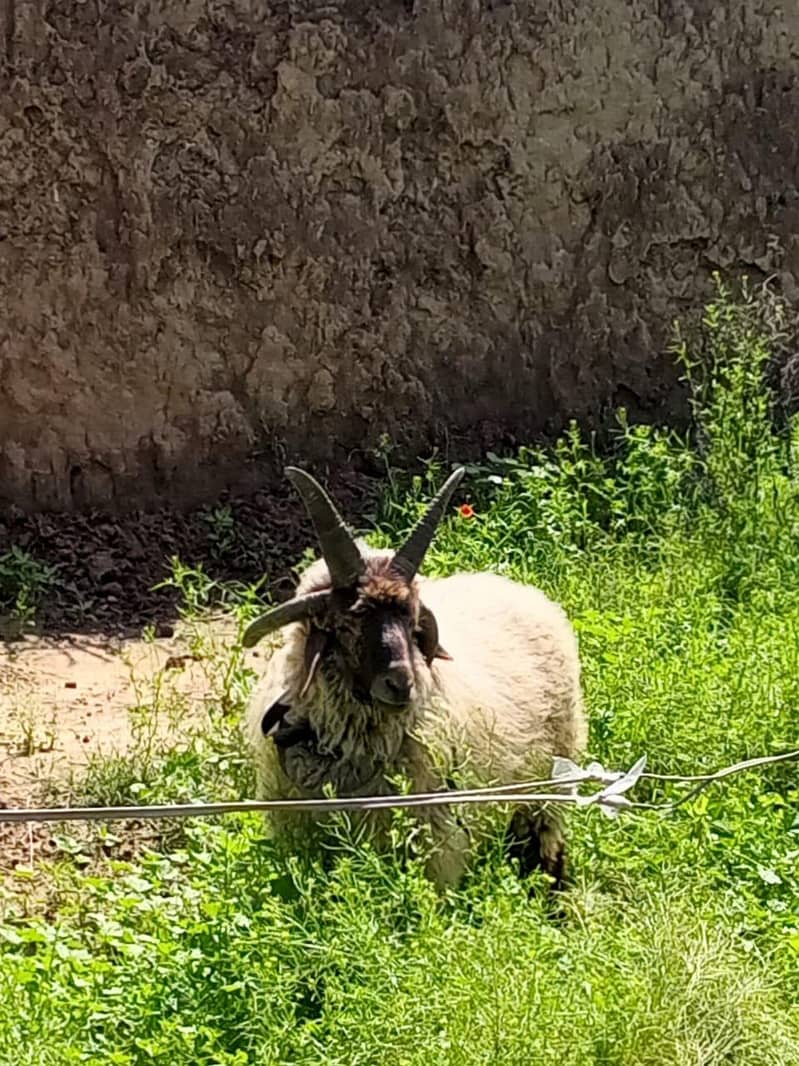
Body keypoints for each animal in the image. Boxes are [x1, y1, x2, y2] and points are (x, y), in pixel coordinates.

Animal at [242, 466, 587, 889]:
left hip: (549, 785)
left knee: (546, 852)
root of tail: (516, 586)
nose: (401, 683)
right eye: (347, 622)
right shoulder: (296, 837)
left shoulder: (436, 846)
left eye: (411, 622)